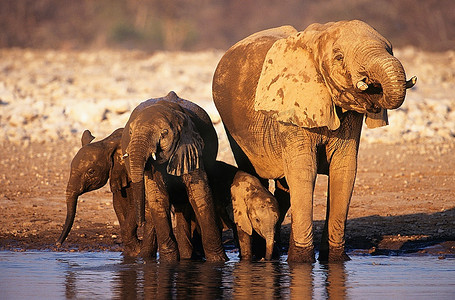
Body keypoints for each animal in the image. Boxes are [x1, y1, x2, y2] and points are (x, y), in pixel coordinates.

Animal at [122, 92, 227, 262]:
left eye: (164, 133)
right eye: (130, 133)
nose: (139, 223)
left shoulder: (191, 148)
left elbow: (200, 195)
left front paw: (219, 261)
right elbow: (158, 197)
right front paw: (169, 261)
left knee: (181, 203)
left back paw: (186, 257)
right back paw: (146, 258)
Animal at [212, 19, 418, 262]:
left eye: (391, 49)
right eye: (339, 57)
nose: (372, 91)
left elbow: (344, 170)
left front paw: (336, 260)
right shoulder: (290, 106)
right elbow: (304, 170)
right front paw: (301, 262)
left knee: (284, 190)